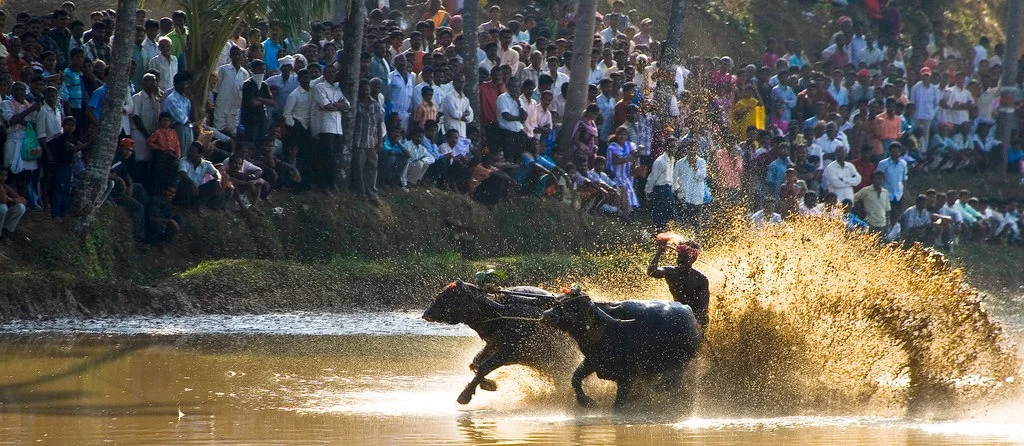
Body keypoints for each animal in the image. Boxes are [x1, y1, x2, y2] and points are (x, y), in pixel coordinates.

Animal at [417, 282, 577, 405]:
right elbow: (475, 363)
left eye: (453, 297)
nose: (427, 313)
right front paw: (489, 384)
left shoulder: (509, 352)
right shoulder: (492, 345)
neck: (500, 316)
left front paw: (465, 395)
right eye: (441, 294)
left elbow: (484, 366)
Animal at [536, 290, 704, 413]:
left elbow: (619, 404)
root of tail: (693, 320)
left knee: (671, 384)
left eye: (575, 307)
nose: (548, 315)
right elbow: (575, 379)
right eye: (557, 302)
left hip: (679, 364)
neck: (607, 330)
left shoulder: (627, 378)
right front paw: (587, 402)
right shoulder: (593, 362)